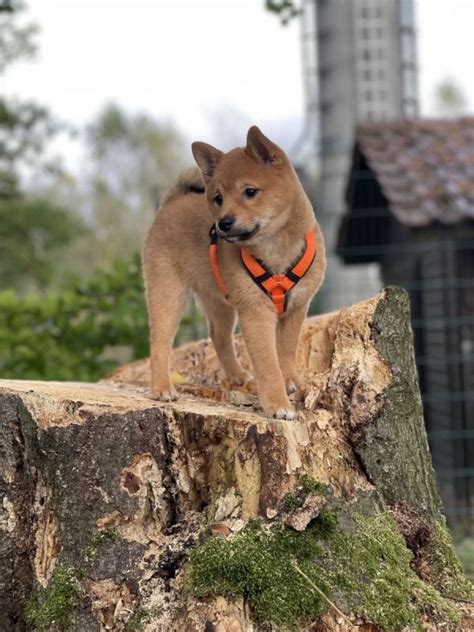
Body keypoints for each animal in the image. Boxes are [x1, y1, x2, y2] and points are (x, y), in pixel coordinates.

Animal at [142, 126, 326, 420]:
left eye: (250, 191)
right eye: (218, 199)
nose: (223, 223)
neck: (276, 248)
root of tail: (171, 202)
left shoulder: (297, 307)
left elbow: (285, 351)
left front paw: (290, 381)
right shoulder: (256, 313)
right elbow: (269, 363)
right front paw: (278, 403)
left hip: (220, 301)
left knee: (219, 337)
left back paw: (238, 376)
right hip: (167, 293)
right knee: (159, 342)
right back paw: (161, 388)